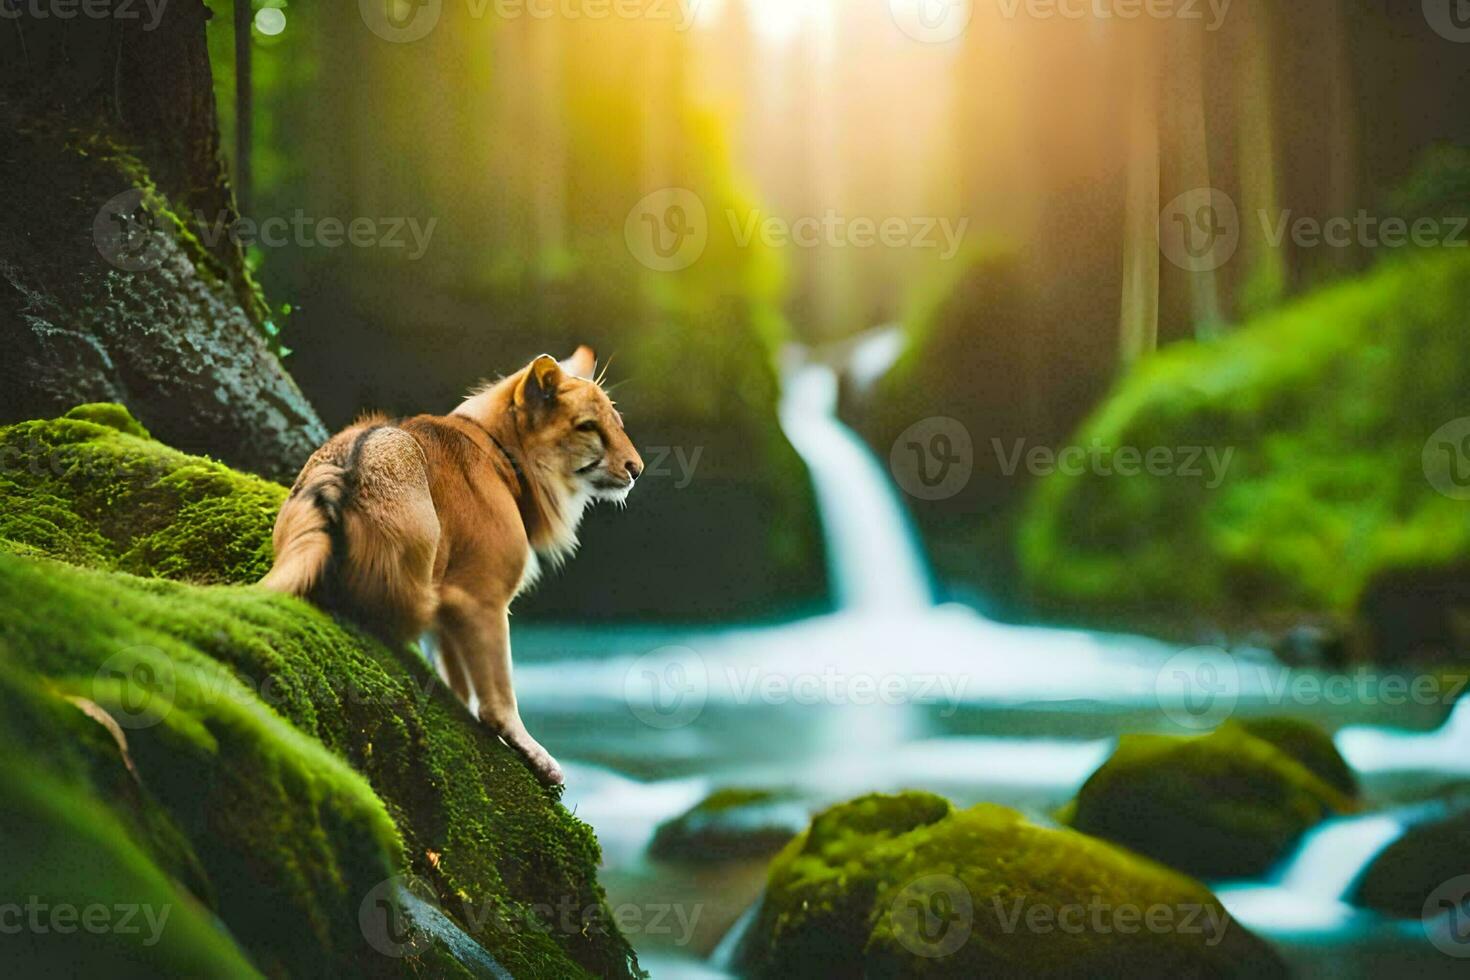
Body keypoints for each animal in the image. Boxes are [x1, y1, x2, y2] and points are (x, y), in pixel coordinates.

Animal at [261, 348, 640, 787]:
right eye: (588, 427)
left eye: (616, 423)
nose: (637, 468)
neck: (499, 452)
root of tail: (340, 469)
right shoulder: (480, 601)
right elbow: (497, 703)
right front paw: (534, 753)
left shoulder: (453, 612)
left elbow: (458, 679)